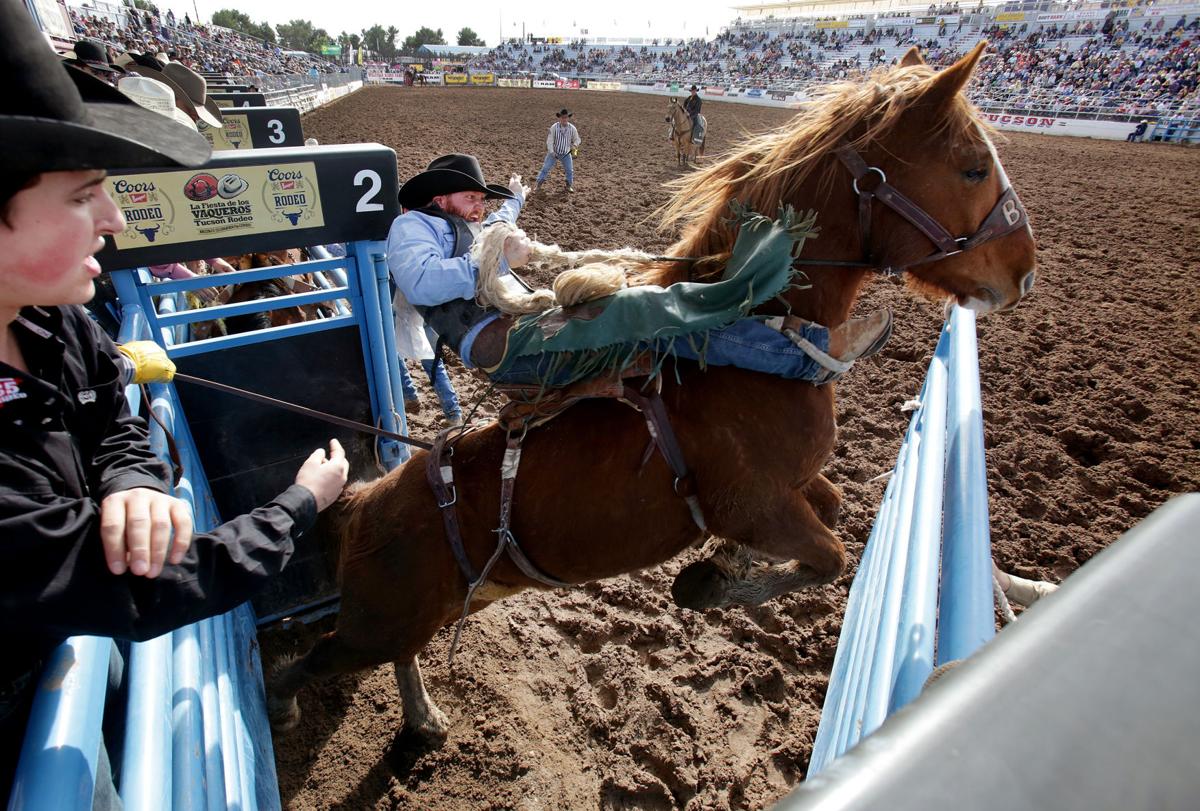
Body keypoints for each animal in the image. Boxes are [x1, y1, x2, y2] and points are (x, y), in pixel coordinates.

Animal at [267, 41, 1036, 743]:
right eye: (972, 165)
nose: (1022, 269)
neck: (756, 345)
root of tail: (368, 500)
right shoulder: (755, 505)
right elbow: (829, 556)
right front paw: (707, 581)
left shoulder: (798, 487)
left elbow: (836, 507)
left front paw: (727, 565)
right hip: (372, 623)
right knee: (316, 659)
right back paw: (286, 706)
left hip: (438, 606)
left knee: (401, 653)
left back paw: (424, 716)